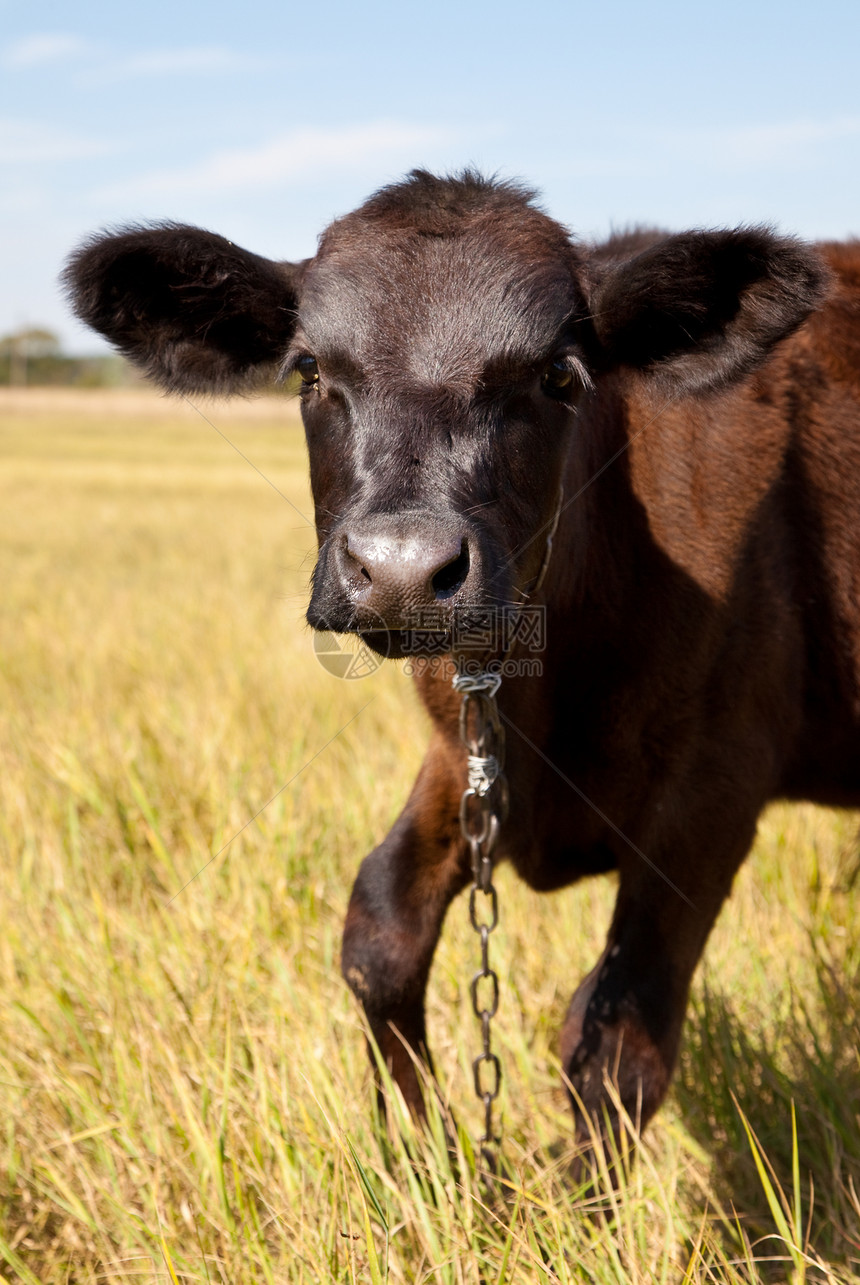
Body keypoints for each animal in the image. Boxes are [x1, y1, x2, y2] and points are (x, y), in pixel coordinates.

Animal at [62, 170, 858, 1156]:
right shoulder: (463, 750)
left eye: (559, 374)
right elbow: (380, 931)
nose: (402, 571)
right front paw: (431, 1158)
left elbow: (617, 1040)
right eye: (310, 370)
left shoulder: (715, 791)